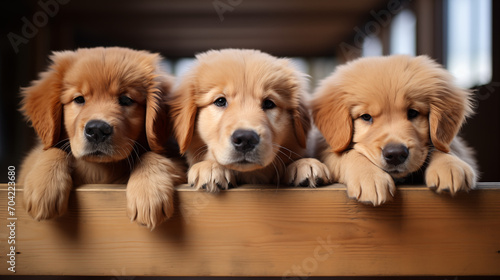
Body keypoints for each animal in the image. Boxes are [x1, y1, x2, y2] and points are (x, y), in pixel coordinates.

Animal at [17, 47, 187, 229]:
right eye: (79, 99)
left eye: (126, 100)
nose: (97, 130)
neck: (100, 169)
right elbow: (51, 151)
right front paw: (44, 185)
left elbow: (151, 155)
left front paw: (148, 192)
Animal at [312, 54, 476, 205]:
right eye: (366, 117)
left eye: (413, 113)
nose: (396, 154)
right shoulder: (326, 149)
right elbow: (347, 154)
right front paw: (370, 177)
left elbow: (440, 147)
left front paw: (450, 165)